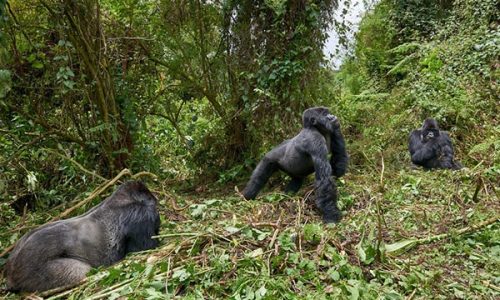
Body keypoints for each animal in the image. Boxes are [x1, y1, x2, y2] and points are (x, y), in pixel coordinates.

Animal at [4, 180, 160, 292]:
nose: (156, 202)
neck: (126, 199)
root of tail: (9, 274)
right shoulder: (141, 214)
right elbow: (145, 248)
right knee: (83, 272)